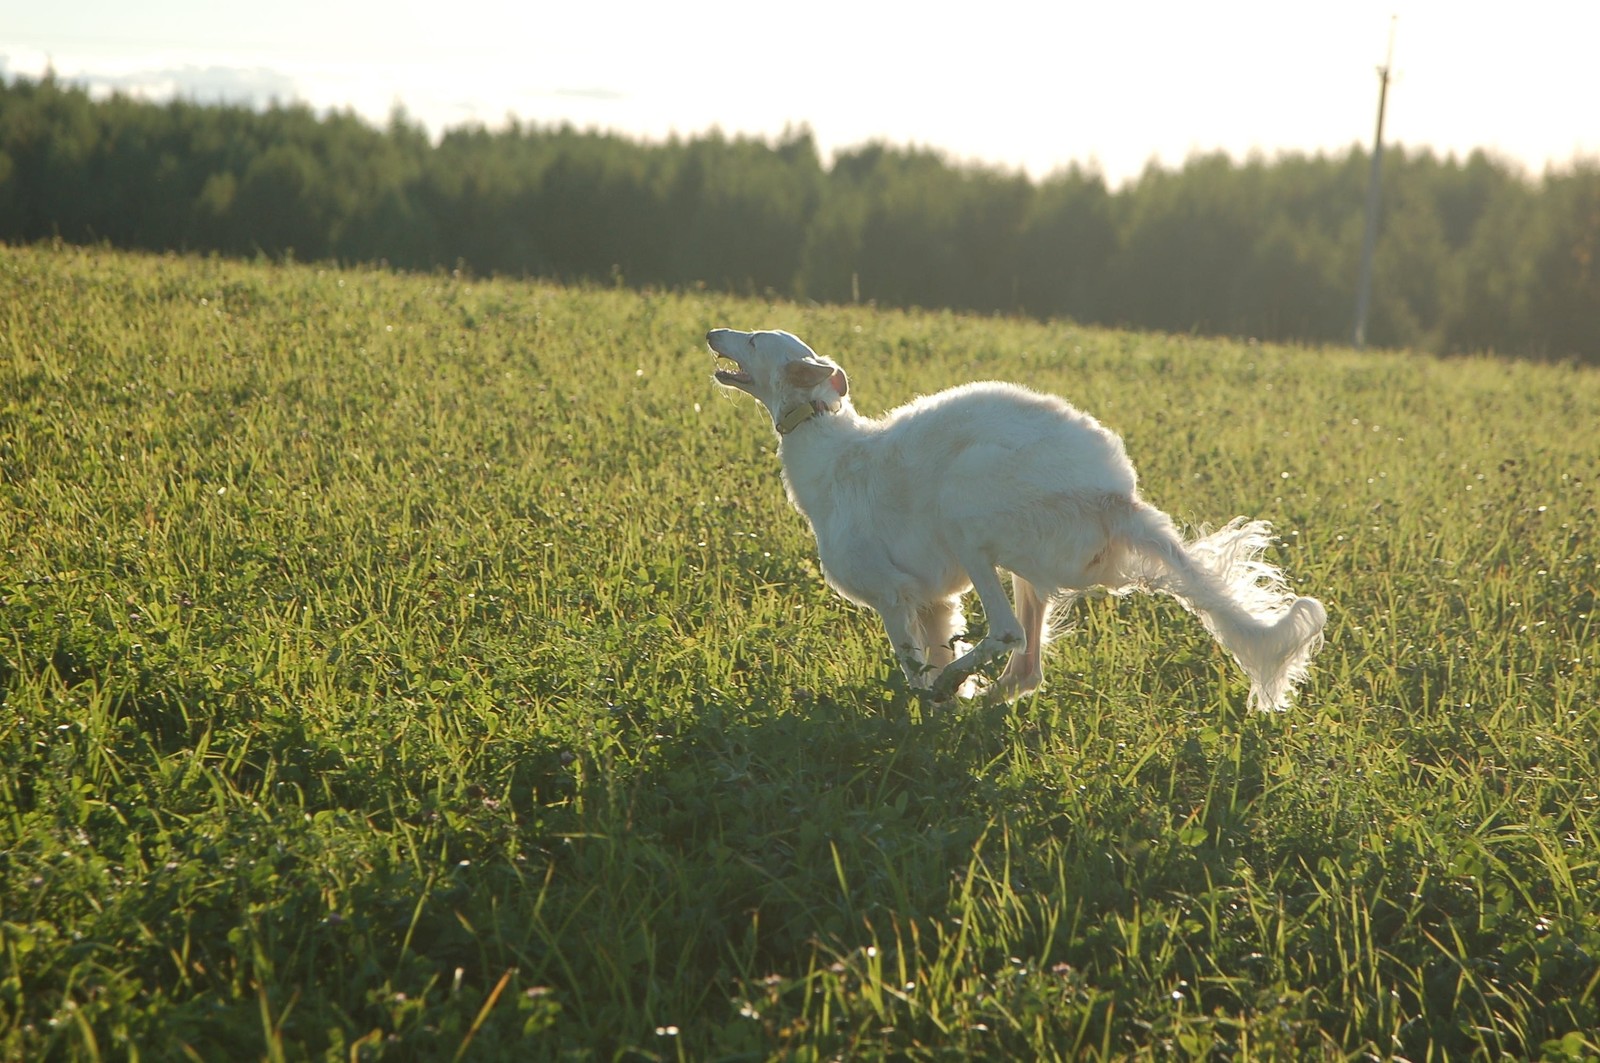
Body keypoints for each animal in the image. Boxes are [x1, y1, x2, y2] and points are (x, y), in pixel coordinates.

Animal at [710, 328, 1324, 710]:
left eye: (755, 338)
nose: (714, 332)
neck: (832, 449)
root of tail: (1116, 496)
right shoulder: (934, 602)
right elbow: (936, 660)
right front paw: (946, 705)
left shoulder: (892, 596)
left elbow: (914, 672)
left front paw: (926, 707)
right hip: (1029, 568)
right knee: (1026, 669)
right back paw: (973, 697)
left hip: (968, 511)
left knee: (1007, 634)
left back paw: (956, 684)